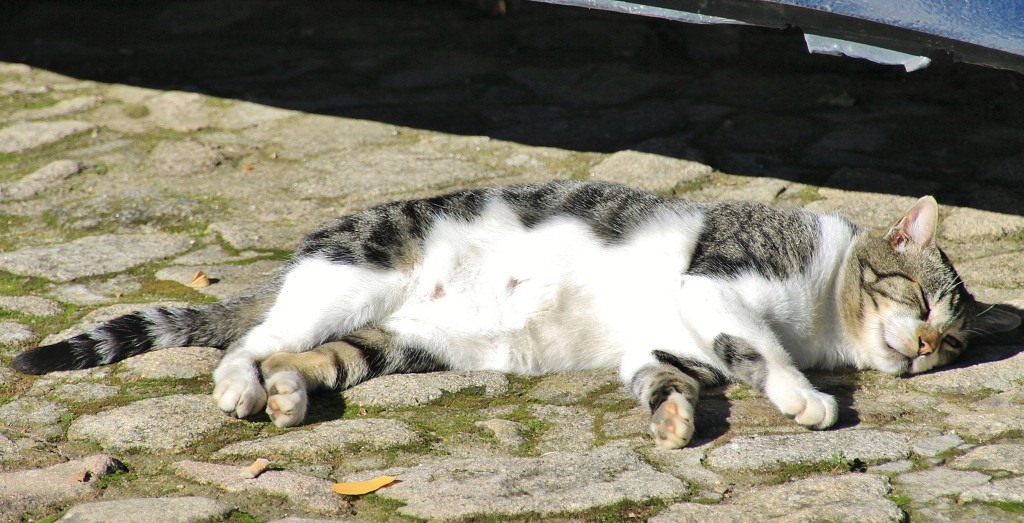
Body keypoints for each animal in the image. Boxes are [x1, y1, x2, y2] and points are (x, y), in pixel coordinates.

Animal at [12, 182, 1019, 448]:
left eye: (948, 346)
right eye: (921, 300)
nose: (923, 345)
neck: (827, 312)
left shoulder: (663, 341)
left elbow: (667, 375)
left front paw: (674, 417)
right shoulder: (720, 281)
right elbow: (761, 348)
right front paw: (807, 396)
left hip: (395, 344)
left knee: (316, 359)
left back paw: (291, 398)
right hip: (351, 273)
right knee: (254, 340)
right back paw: (239, 387)